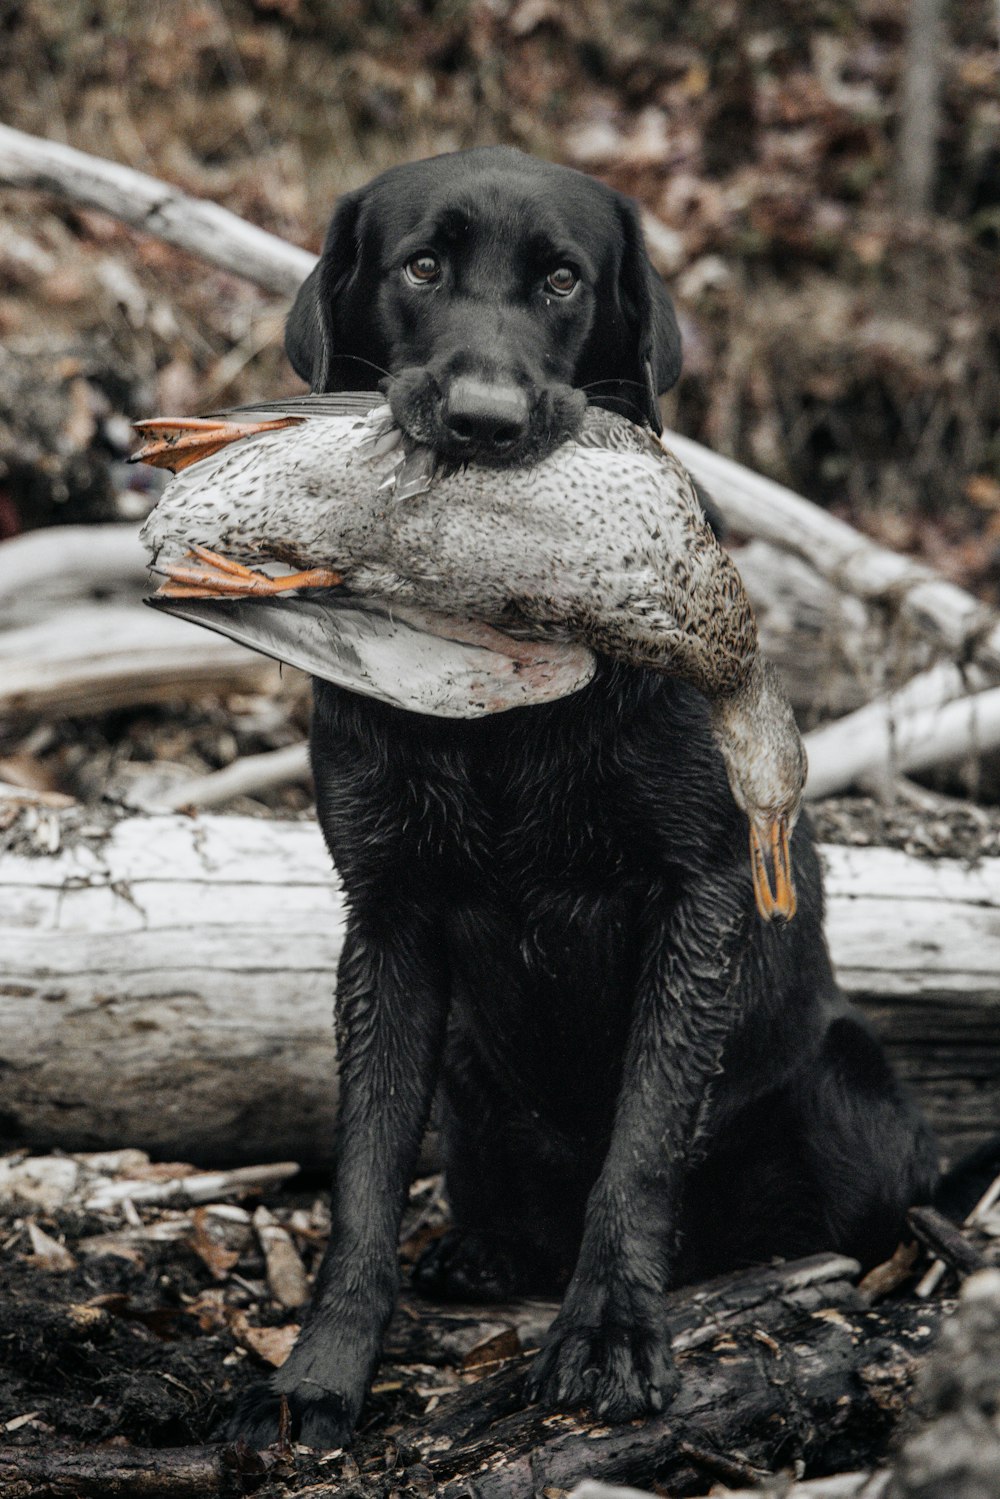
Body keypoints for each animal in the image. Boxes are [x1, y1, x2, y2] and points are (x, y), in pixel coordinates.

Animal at [232, 146, 941, 1445]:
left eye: (563, 280)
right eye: (421, 267)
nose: (485, 421)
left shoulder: (696, 893)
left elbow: (642, 1139)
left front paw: (607, 1331)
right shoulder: (388, 916)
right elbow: (365, 1167)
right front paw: (321, 1368)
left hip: (845, 1094)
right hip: (471, 1075)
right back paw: (479, 1252)